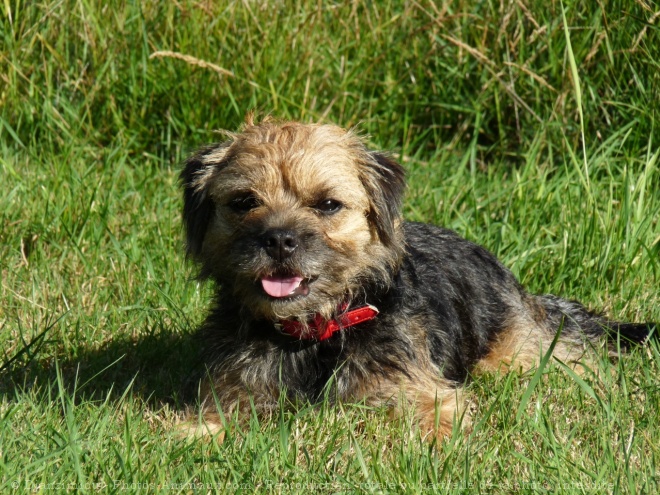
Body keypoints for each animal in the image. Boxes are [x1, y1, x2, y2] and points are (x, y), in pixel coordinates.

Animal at [178, 117, 656, 442]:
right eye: (244, 202)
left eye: (328, 204)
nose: (278, 239)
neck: (313, 334)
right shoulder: (232, 393)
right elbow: (205, 425)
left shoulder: (420, 390)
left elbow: (437, 417)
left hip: (511, 356)